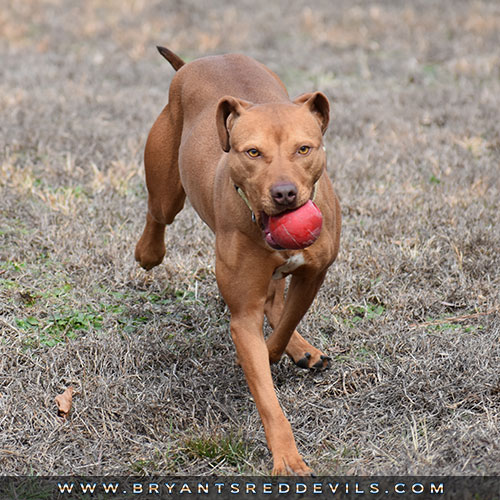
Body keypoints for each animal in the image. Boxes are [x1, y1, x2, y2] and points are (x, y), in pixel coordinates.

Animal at [135, 47, 342, 476]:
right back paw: (148, 252)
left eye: (304, 149)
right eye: (253, 152)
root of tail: (195, 63)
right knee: (156, 213)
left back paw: (301, 348)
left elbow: (286, 320)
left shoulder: (314, 273)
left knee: (276, 300)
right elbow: (266, 396)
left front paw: (281, 350)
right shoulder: (243, 314)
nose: (284, 193)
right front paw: (287, 458)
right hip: (166, 188)